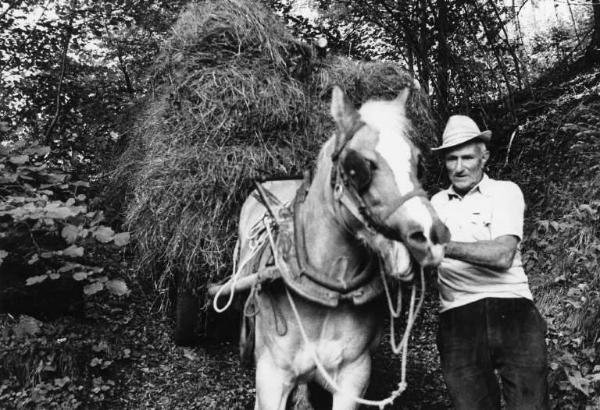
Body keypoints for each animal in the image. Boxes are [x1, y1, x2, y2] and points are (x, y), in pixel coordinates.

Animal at [232, 85, 448, 408]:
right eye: (356, 168)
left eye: (418, 161)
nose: (431, 235)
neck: (325, 290)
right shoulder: (270, 378)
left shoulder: (352, 377)